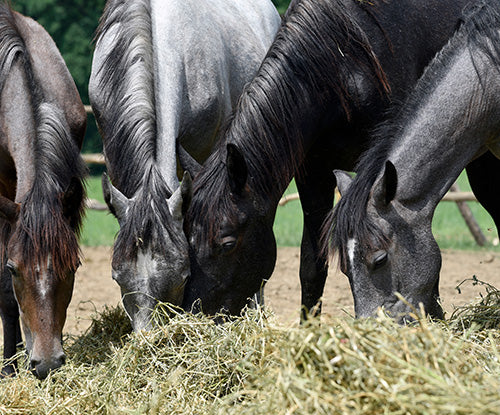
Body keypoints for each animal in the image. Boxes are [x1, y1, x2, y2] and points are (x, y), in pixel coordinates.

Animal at [181, 0, 472, 316]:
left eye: (227, 243)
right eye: (187, 236)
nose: (195, 312)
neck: (345, 67)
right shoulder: (313, 174)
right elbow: (311, 267)